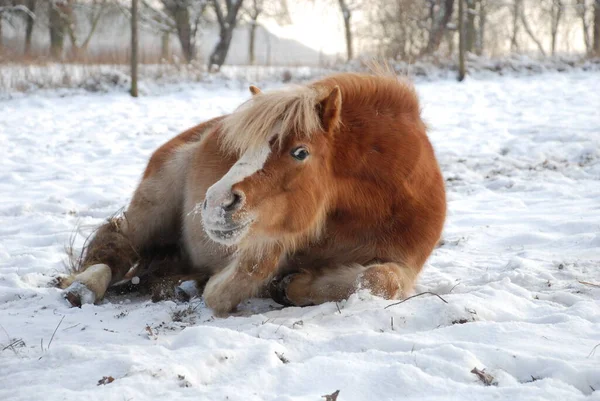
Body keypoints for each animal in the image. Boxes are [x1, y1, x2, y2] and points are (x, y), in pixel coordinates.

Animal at [58, 72, 448, 316]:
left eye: (300, 152)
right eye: (243, 148)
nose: (215, 203)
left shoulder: (407, 263)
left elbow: (379, 279)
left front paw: (294, 284)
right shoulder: (266, 239)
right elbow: (244, 274)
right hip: (152, 206)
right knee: (115, 246)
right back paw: (84, 287)